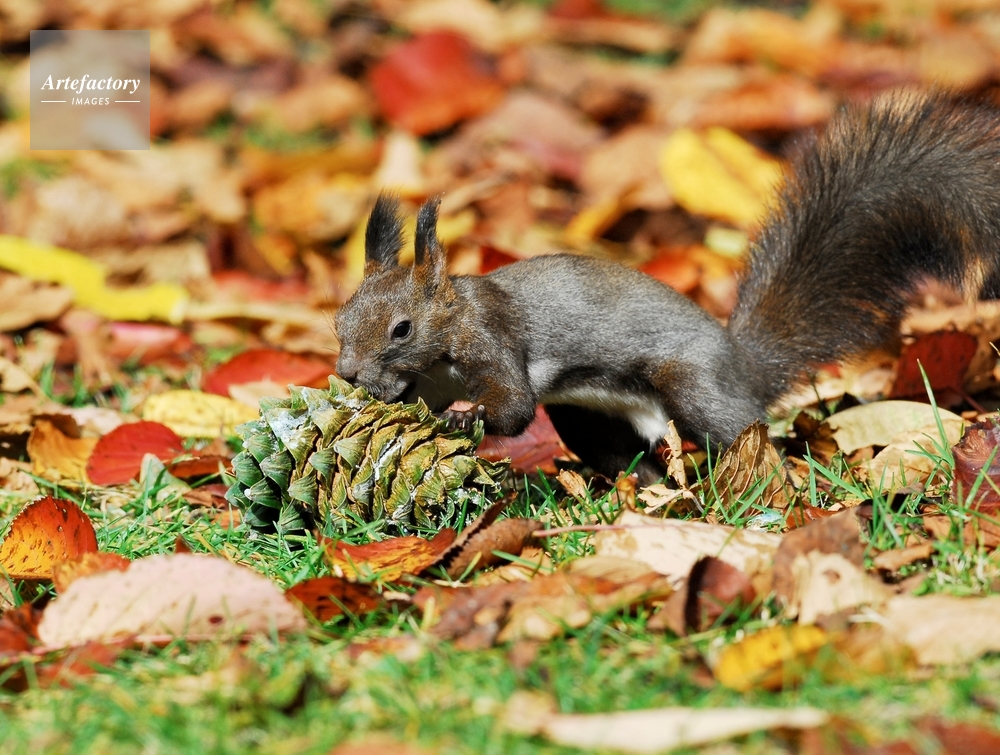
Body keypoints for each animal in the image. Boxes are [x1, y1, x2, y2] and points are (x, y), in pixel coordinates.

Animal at [334, 93, 1000, 482]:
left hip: (694, 387)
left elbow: (514, 406)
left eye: (402, 329)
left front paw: (464, 419)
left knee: (744, 433)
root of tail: (742, 364)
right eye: (339, 321)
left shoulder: (493, 343)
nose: (345, 373)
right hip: (588, 416)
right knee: (631, 459)